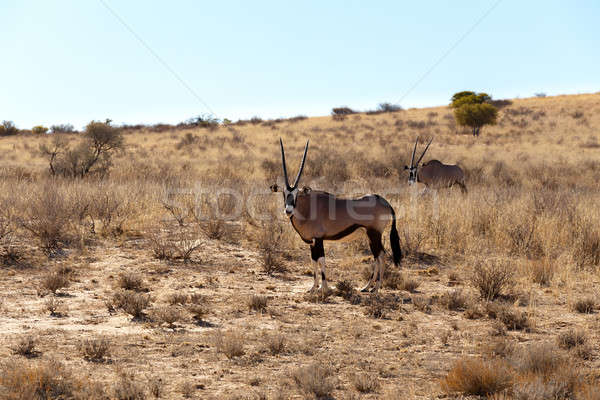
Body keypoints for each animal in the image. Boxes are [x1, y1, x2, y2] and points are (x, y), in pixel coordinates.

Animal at [270, 140, 404, 294]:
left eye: (297, 193)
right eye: (284, 193)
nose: (288, 210)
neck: (308, 208)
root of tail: (386, 202)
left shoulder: (318, 239)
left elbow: (321, 260)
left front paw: (324, 288)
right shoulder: (312, 242)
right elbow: (313, 261)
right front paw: (313, 288)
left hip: (374, 234)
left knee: (381, 255)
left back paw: (376, 288)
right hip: (370, 236)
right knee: (377, 257)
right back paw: (366, 287)